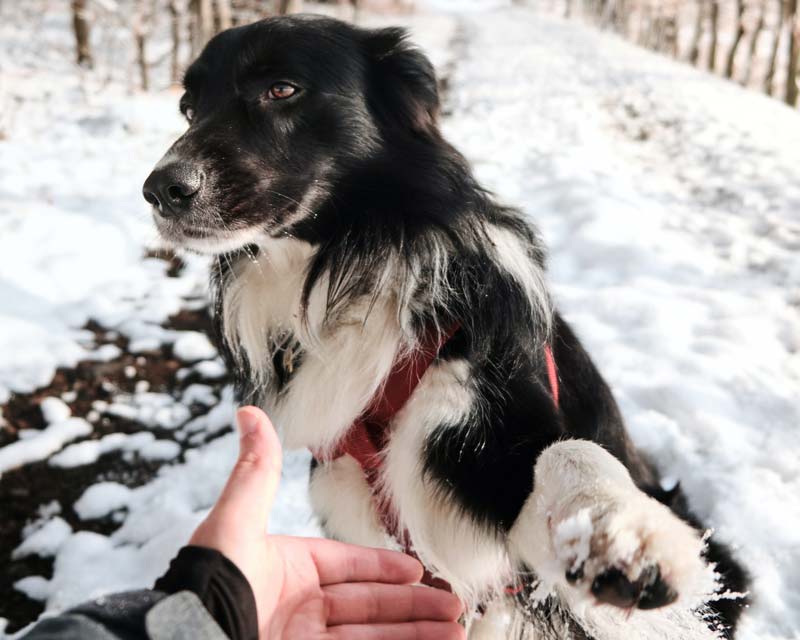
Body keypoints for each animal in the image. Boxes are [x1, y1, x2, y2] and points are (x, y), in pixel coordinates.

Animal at [144, 16, 752, 640]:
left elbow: (569, 451)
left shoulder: (490, 444)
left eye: (282, 88)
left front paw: (616, 530)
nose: (160, 190)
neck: (346, 264)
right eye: (189, 108)